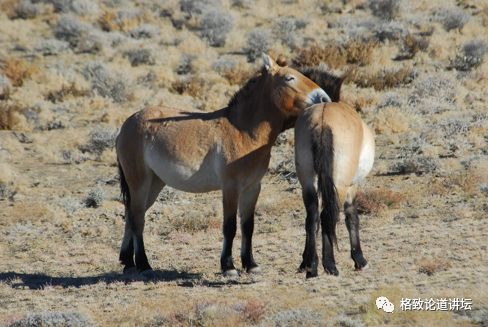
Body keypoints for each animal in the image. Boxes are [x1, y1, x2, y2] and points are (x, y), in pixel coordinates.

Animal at [115, 54, 330, 280]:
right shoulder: (231, 187)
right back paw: (144, 265)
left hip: (154, 184)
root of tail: (127, 124)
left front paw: (250, 264)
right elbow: (230, 226)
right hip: (139, 183)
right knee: (138, 219)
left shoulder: (252, 187)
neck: (243, 131)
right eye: (290, 78)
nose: (325, 99)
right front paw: (228, 267)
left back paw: (128, 263)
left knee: (131, 215)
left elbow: (247, 226)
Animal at [292, 70, 376, 278]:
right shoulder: (351, 186)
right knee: (327, 217)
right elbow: (351, 217)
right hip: (339, 185)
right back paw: (330, 265)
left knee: (312, 216)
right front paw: (360, 260)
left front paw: (305, 262)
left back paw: (311, 266)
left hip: (308, 182)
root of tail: (322, 120)